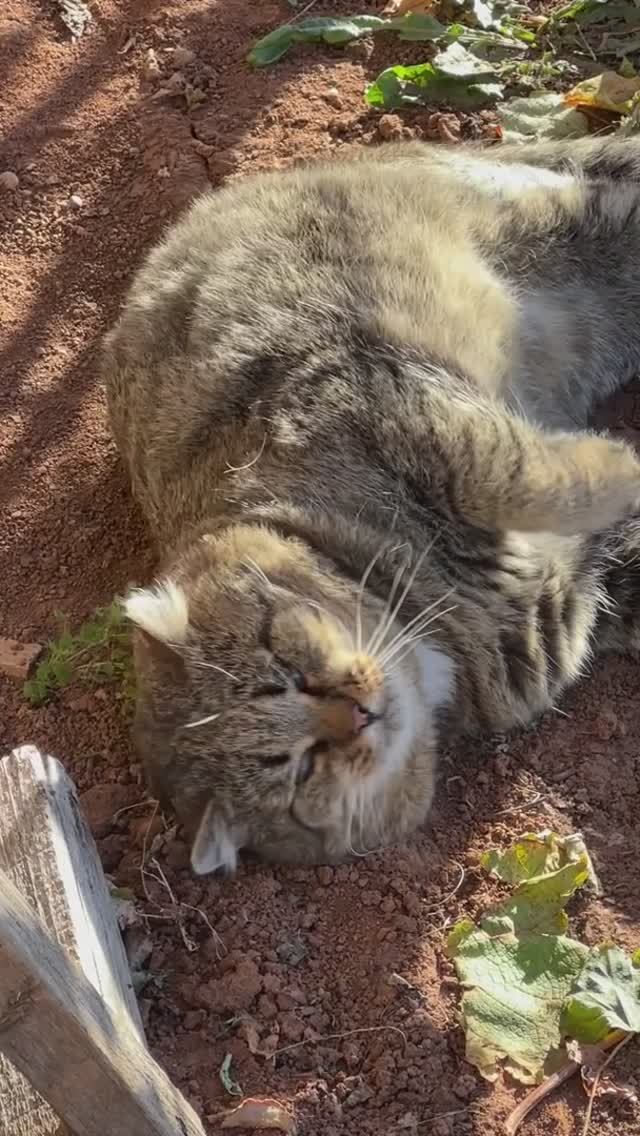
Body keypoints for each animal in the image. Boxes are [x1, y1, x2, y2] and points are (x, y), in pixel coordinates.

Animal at [102, 137, 640, 872]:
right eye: (301, 769)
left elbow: (528, 475)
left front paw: (623, 465)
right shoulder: (579, 595)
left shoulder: (400, 404)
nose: (359, 712)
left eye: (286, 669)